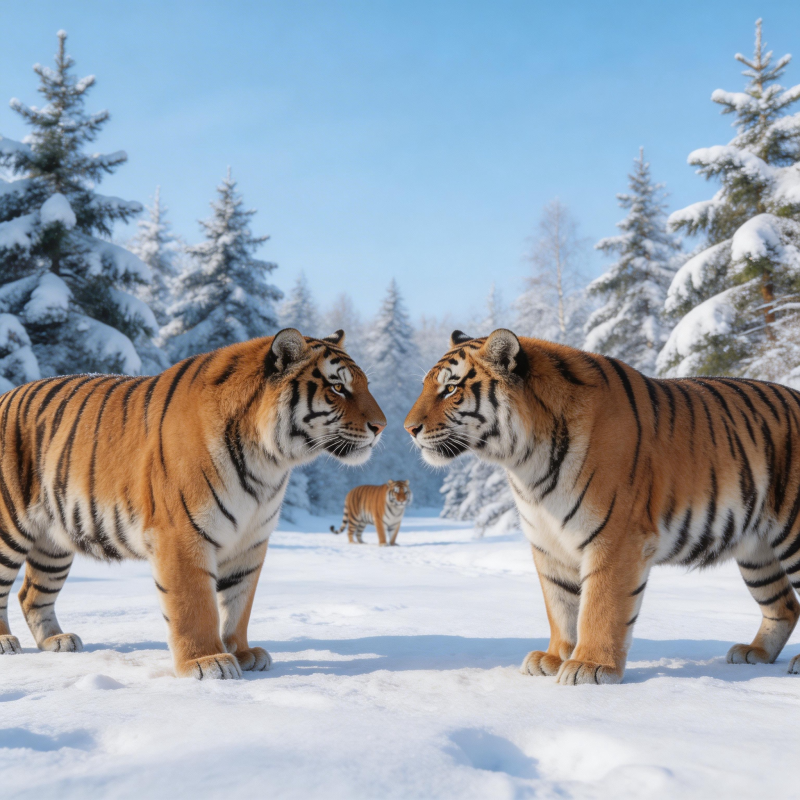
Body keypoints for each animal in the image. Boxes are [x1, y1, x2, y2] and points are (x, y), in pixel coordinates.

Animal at [0, 328, 386, 680]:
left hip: (54, 542)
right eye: (338, 388)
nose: (381, 426)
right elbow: (194, 604)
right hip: (9, 529)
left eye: (365, 384)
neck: (268, 462)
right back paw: (6, 643)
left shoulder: (251, 540)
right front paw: (207, 662)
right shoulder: (182, 533)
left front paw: (243, 653)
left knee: (31, 594)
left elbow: (238, 601)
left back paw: (57, 641)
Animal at [405, 327, 800, 685]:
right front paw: (553, 658)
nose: (409, 429)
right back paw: (754, 653)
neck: (526, 463)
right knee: (784, 605)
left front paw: (590, 666)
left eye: (451, 389)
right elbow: (560, 604)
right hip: (756, 551)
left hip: (791, 535)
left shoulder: (615, 537)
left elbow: (600, 606)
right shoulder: (548, 543)